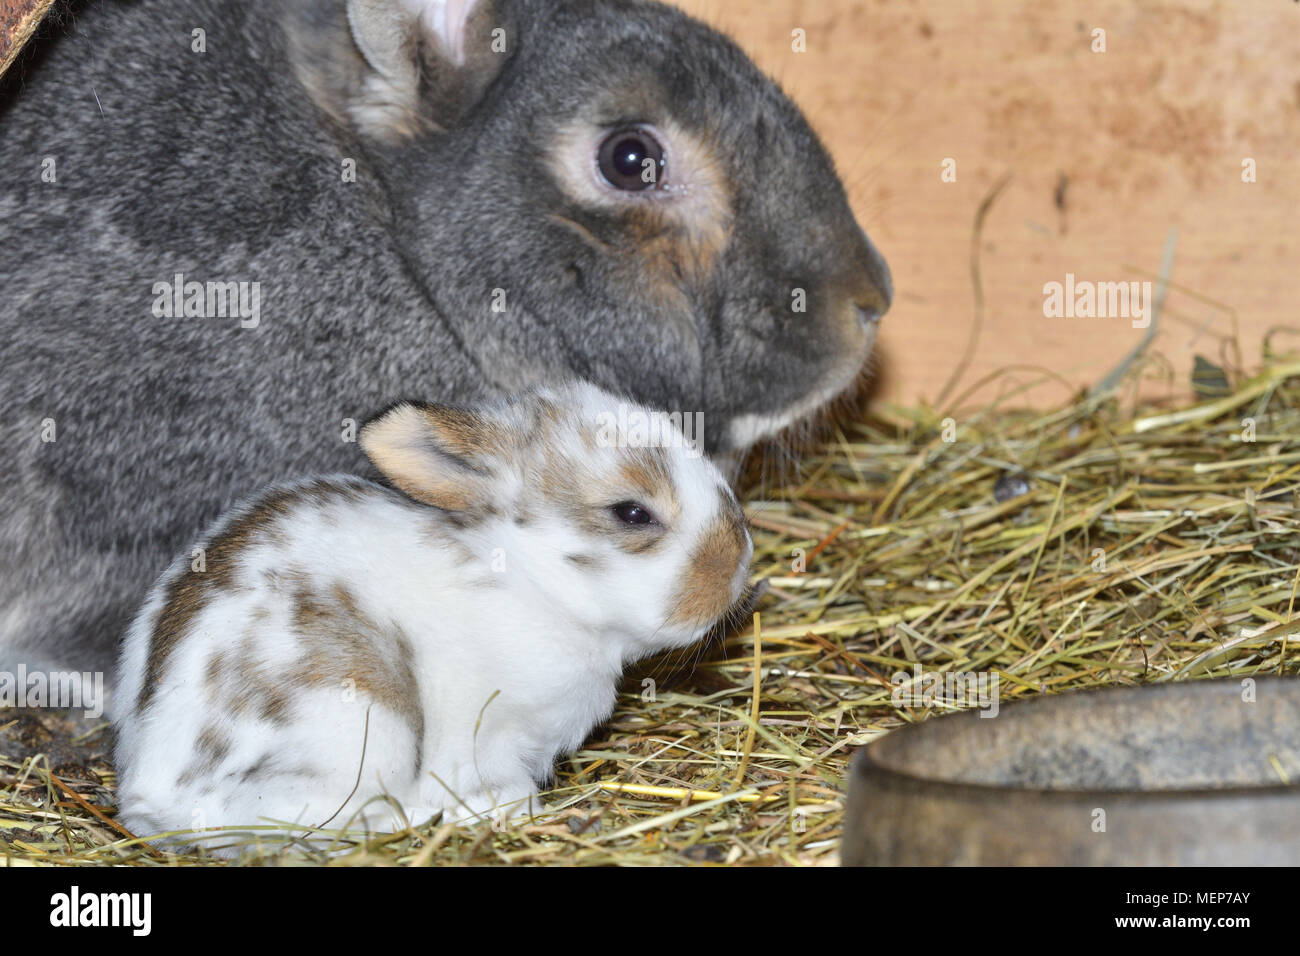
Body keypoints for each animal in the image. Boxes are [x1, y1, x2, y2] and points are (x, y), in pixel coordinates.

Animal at [112, 381, 754, 853]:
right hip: (362, 718)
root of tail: (154, 791)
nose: (739, 566)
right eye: (631, 513)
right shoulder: (488, 733)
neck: (532, 584)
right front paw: (511, 807)